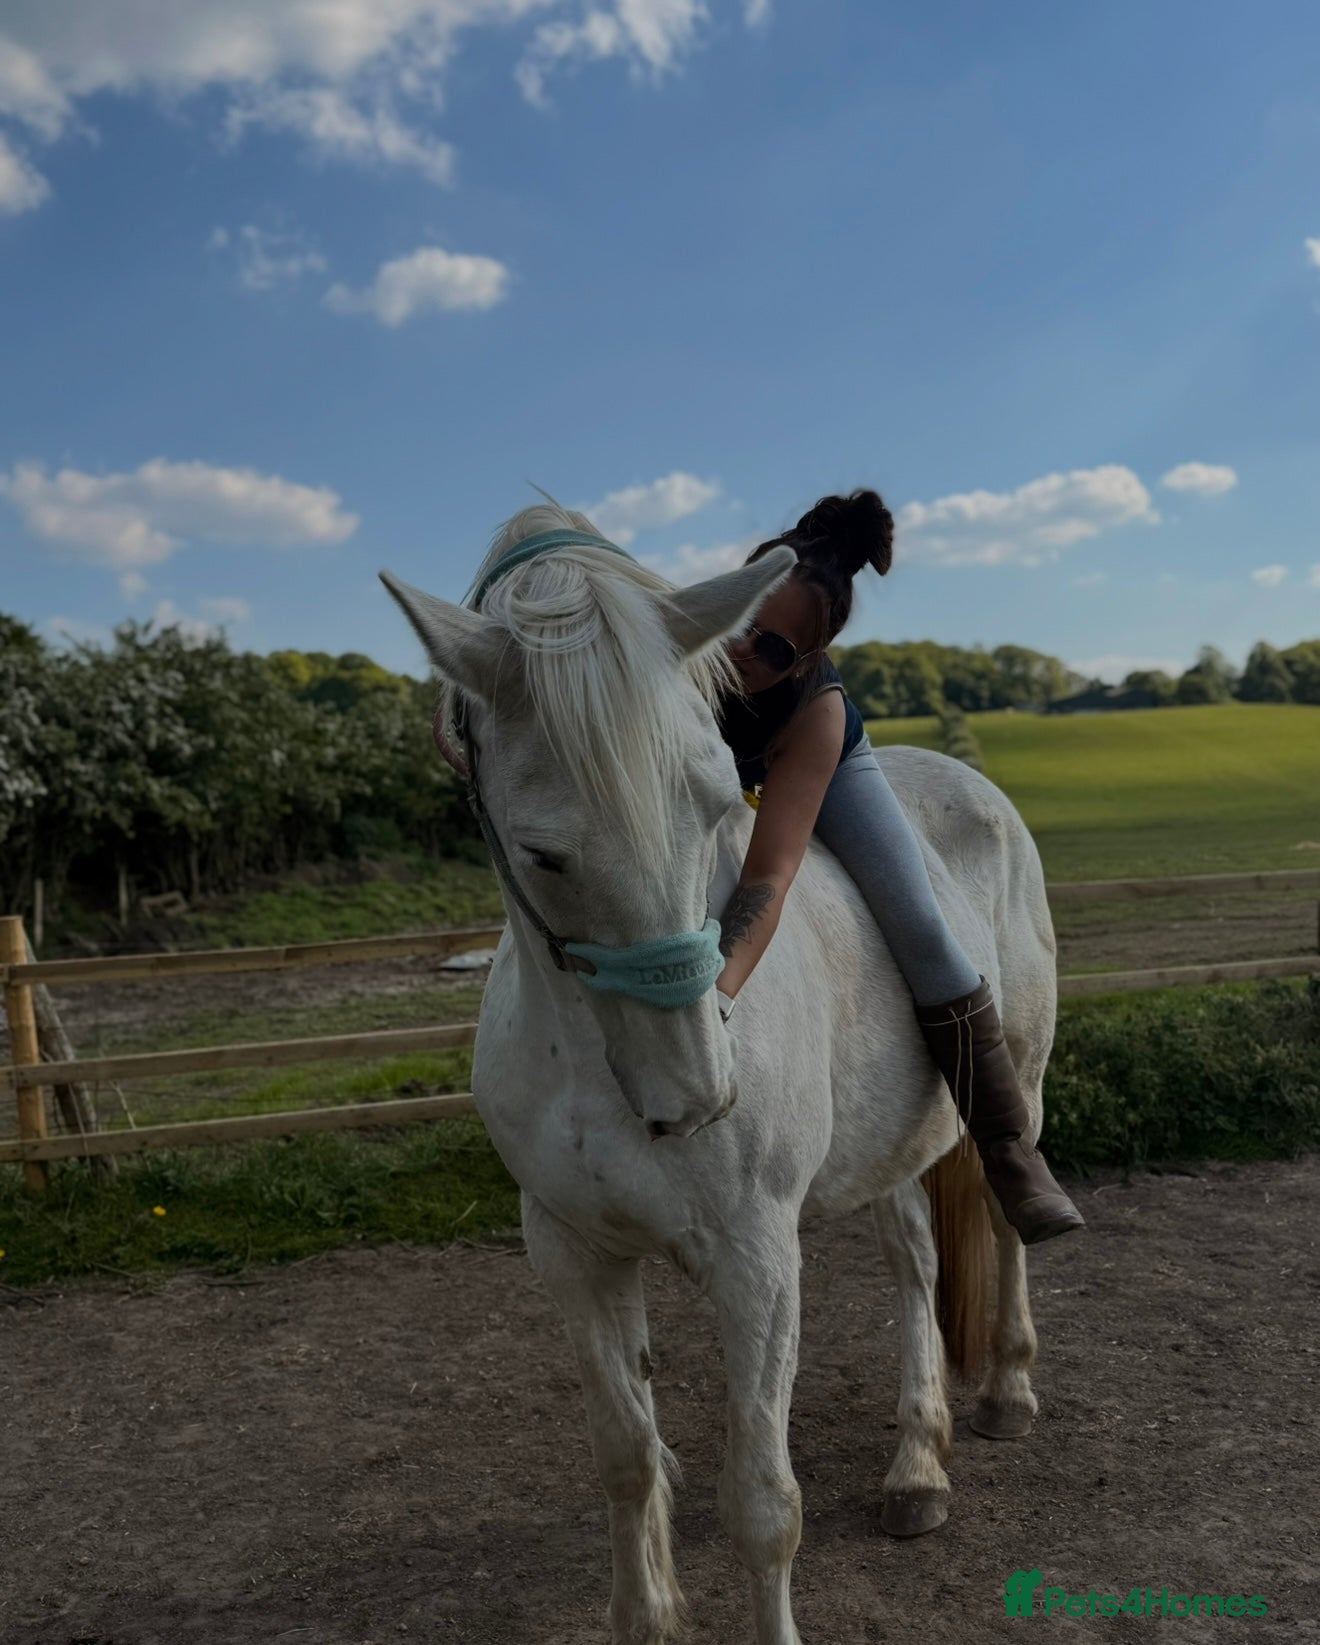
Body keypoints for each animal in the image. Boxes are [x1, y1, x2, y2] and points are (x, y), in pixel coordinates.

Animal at [382, 500, 1053, 1645]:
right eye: (543, 853)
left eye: (709, 806)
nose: (694, 1094)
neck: (595, 1062)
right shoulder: (575, 1252)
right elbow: (625, 1457)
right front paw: (646, 1615)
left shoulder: (757, 1260)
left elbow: (764, 1505)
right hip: (892, 1145)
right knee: (916, 1265)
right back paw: (917, 1463)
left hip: (1021, 1088)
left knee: (1005, 1221)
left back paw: (1007, 1387)